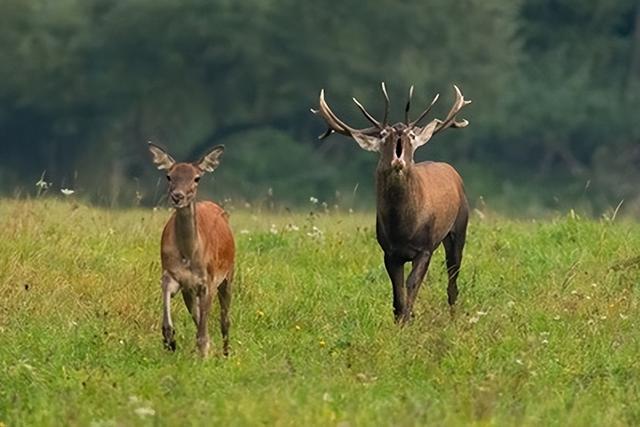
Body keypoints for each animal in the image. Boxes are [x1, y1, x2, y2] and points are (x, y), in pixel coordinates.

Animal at [148, 144, 235, 358]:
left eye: (197, 178)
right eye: (169, 176)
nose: (177, 196)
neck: (188, 255)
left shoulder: (208, 281)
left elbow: (204, 330)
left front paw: (203, 355)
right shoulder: (172, 275)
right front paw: (170, 341)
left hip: (229, 274)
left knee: (225, 320)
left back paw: (225, 353)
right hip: (190, 290)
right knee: (198, 317)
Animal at [312, 83, 472, 324]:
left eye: (411, 135)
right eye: (383, 135)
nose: (398, 132)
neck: (403, 229)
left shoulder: (425, 247)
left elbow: (411, 285)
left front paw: (407, 319)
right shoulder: (389, 251)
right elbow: (398, 294)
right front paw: (401, 320)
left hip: (458, 229)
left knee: (453, 278)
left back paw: (453, 315)